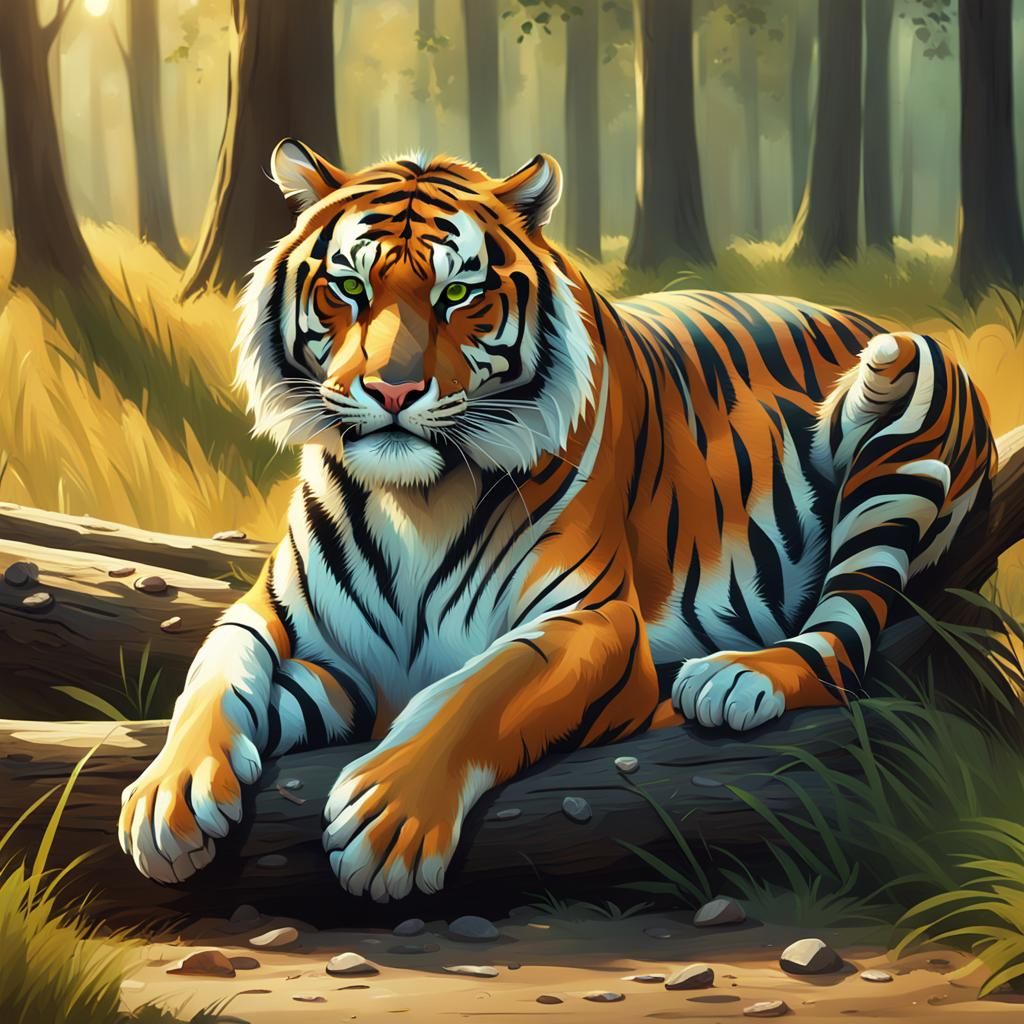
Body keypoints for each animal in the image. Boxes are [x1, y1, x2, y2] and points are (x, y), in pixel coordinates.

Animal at [118, 140, 993, 900]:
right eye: (350, 290)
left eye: (458, 294)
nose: (393, 391)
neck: (413, 500)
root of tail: (857, 312)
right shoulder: (294, 633)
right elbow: (216, 673)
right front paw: (167, 797)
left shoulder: (589, 620)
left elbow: (481, 690)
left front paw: (388, 819)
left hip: (905, 381)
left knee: (845, 637)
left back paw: (730, 679)